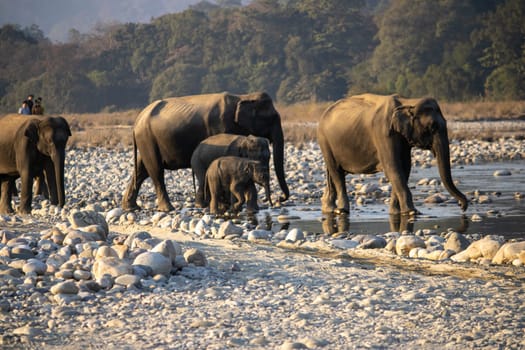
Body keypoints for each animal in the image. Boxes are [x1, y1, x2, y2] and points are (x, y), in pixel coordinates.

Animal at [121, 91, 288, 212]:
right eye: (272, 117)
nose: (279, 199)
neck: (243, 97)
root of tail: (137, 121)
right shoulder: (221, 125)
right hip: (147, 138)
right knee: (156, 170)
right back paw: (168, 208)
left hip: (147, 140)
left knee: (141, 169)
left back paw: (131, 207)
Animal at [316, 93, 466, 216]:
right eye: (432, 127)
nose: (462, 206)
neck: (408, 102)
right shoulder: (383, 133)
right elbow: (393, 168)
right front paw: (412, 212)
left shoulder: (403, 139)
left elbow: (405, 169)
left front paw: (395, 213)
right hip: (324, 140)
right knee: (336, 172)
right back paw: (342, 210)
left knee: (333, 172)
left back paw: (328, 209)